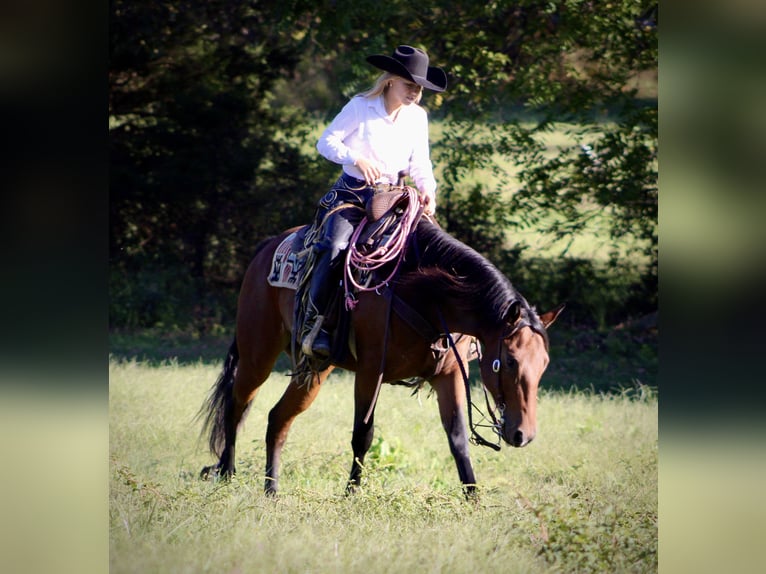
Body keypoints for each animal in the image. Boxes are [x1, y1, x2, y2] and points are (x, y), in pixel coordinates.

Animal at [199, 218, 563, 496]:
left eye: (544, 365)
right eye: (510, 361)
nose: (524, 435)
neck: (426, 294)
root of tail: (267, 248)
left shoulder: (448, 376)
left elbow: (458, 439)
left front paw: (474, 499)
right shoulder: (370, 372)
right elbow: (364, 436)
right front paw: (351, 495)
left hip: (315, 371)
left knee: (278, 417)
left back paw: (271, 489)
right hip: (257, 353)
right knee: (236, 403)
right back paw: (227, 472)